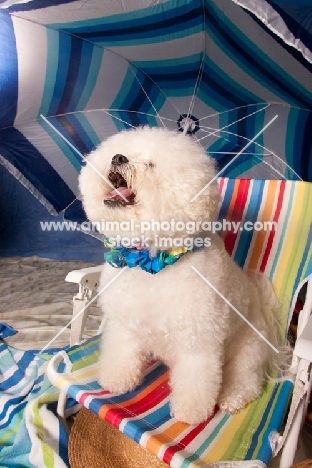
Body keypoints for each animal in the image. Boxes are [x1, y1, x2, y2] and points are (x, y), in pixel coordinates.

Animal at [79, 126, 280, 426]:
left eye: (151, 165)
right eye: (120, 150)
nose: (118, 157)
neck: (152, 262)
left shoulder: (199, 343)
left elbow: (196, 384)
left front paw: (191, 413)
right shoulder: (123, 325)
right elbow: (121, 354)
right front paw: (117, 381)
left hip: (249, 351)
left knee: (247, 380)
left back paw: (232, 398)